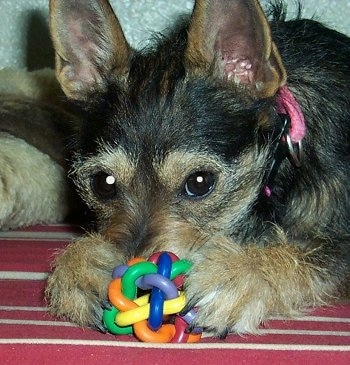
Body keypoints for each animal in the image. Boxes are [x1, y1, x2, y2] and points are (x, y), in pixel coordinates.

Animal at [45, 0, 350, 336]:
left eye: (200, 182)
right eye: (103, 183)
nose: (140, 288)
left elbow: (315, 254)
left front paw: (242, 272)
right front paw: (81, 268)